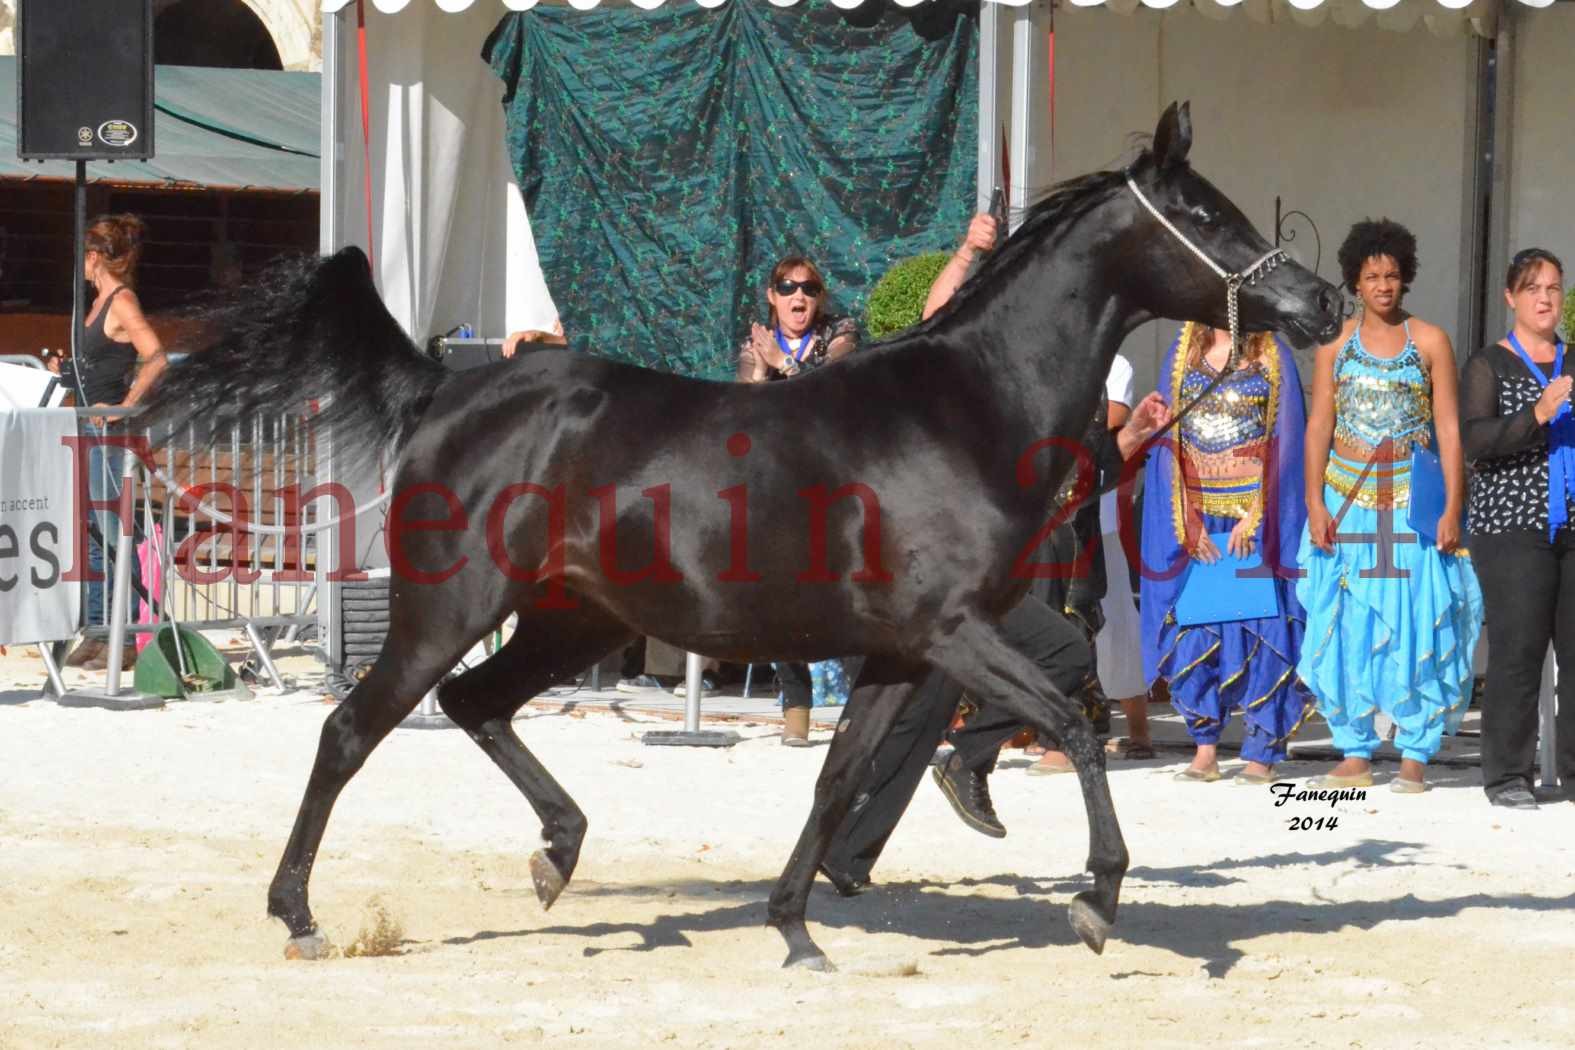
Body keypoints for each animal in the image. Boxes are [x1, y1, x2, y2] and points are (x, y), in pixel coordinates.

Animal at [141, 104, 1335, 969]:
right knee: (351, 729)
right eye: (1209, 218)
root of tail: (449, 388)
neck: (964, 406)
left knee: (476, 704)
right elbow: (1076, 724)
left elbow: (840, 778)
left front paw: (796, 926)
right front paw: (1097, 898)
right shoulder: (949, 632)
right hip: (449, 609)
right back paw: (301, 915)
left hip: (571, 623)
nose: (1317, 303)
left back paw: (556, 857)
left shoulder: (900, 652)